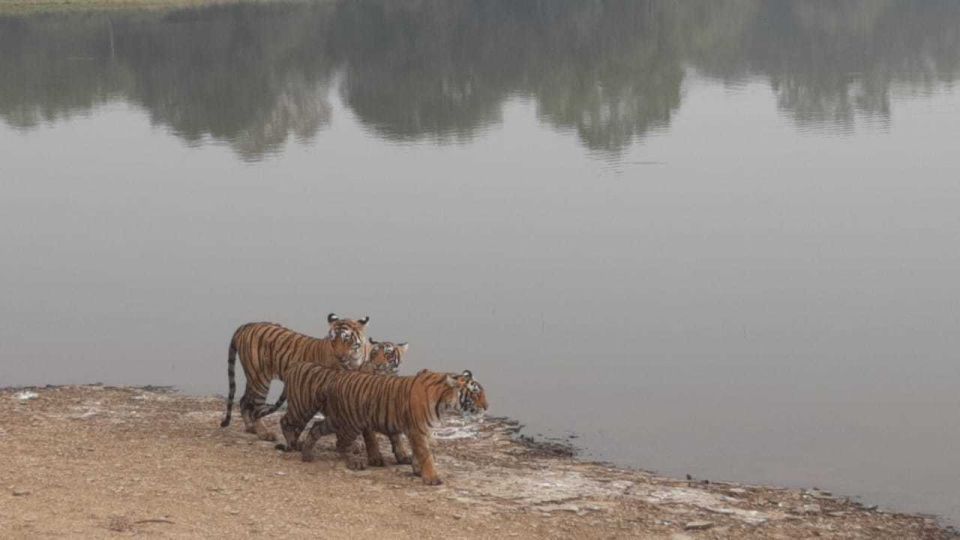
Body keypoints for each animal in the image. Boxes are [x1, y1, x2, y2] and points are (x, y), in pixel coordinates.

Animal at [219, 314, 369, 441]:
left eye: (346, 339)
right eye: (332, 340)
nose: (338, 356)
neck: (354, 360)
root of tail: (247, 325)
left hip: (253, 377)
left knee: (244, 400)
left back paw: (250, 428)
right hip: (260, 378)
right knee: (256, 407)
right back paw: (264, 433)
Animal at [295, 368, 487, 485]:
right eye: (475, 393)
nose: (487, 407)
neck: (443, 402)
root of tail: (333, 381)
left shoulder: (422, 430)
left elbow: (419, 453)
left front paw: (418, 470)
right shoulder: (417, 430)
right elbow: (426, 454)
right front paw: (432, 478)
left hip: (337, 419)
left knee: (316, 427)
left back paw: (307, 454)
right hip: (351, 422)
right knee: (341, 444)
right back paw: (354, 462)